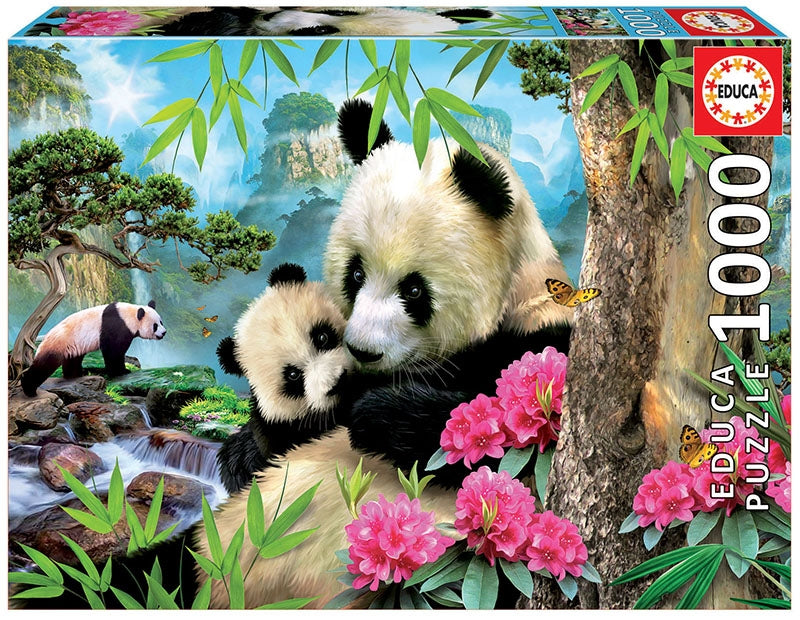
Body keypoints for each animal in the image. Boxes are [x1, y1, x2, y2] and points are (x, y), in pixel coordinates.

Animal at [21, 301, 166, 397]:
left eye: (161, 322)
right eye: (155, 326)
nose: (164, 333)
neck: (129, 315)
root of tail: (44, 339)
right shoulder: (116, 326)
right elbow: (113, 351)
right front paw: (122, 371)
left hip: (72, 345)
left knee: (73, 360)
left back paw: (76, 374)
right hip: (58, 343)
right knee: (44, 365)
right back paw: (29, 389)